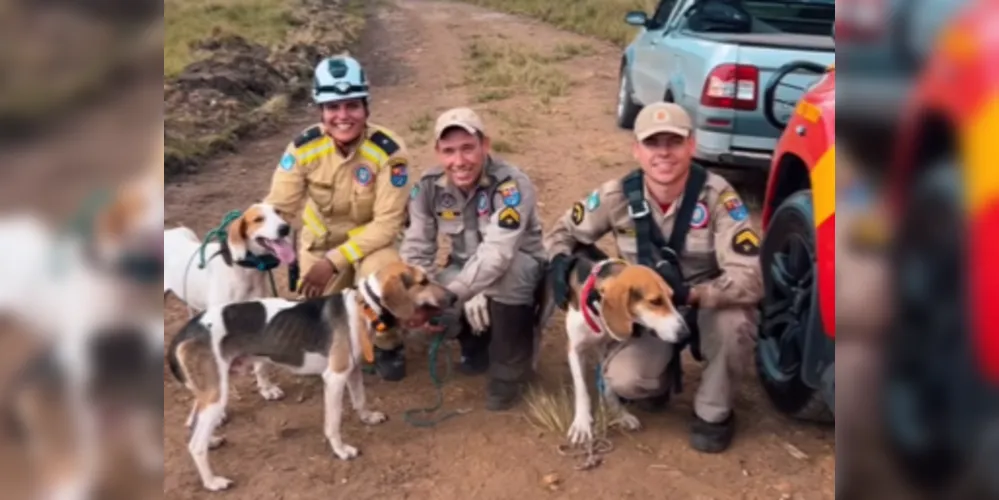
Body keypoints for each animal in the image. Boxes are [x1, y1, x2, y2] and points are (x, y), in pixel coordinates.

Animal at [164, 201, 294, 400]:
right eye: (258, 219)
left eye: (278, 212)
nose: (285, 228)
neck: (245, 270)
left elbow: (261, 365)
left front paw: (266, 388)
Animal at [168, 262, 458, 492]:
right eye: (423, 282)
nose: (455, 297)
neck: (364, 306)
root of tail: (186, 331)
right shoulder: (335, 377)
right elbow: (333, 423)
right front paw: (342, 451)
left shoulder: (352, 370)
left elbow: (361, 399)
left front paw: (368, 418)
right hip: (217, 395)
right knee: (195, 445)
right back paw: (212, 481)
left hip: (209, 390)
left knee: (194, 423)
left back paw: (212, 441)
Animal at [560, 258, 692, 446]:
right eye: (655, 301)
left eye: (672, 298)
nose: (686, 334)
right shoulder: (575, 349)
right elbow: (581, 389)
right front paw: (582, 423)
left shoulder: (610, 348)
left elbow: (608, 385)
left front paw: (619, 413)